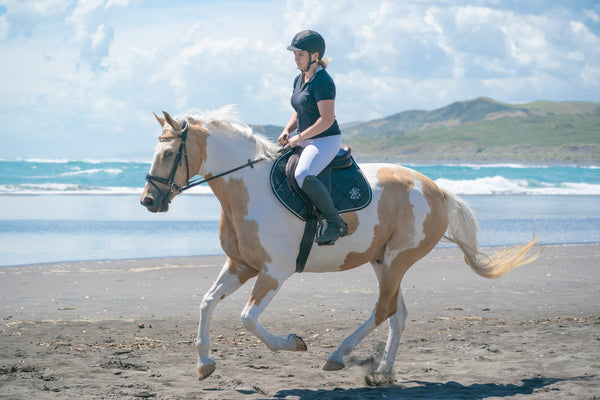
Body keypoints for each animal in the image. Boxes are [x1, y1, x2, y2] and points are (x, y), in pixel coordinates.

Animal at [139, 108, 540, 382]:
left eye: (169, 154)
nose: (148, 201)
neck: (247, 190)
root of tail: (436, 189)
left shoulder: (274, 273)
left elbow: (248, 319)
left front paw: (294, 343)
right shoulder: (240, 265)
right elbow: (207, 303)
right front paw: (204, 363)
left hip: (397, 260)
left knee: (384, 310)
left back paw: (337, 355)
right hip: (383, 261)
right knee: (397, 314)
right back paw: (382, 372)